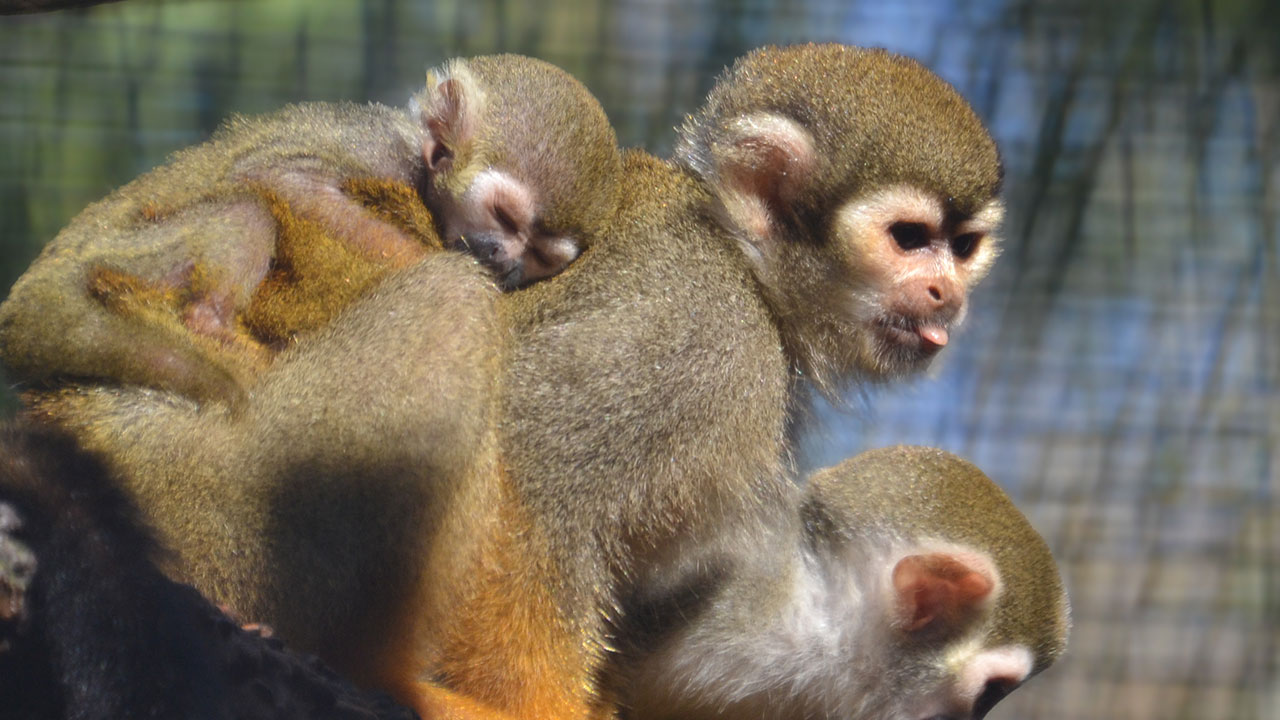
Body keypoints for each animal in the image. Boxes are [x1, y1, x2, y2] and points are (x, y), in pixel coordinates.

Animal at [0, 53, 621, 405]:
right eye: (505, 219)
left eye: (540, 256)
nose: (508, 263)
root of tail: (35, 289)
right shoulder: (381, 152)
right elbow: (281, 176)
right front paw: (427, 262)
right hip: (118, 257)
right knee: (243, 211)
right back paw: (210, 321)